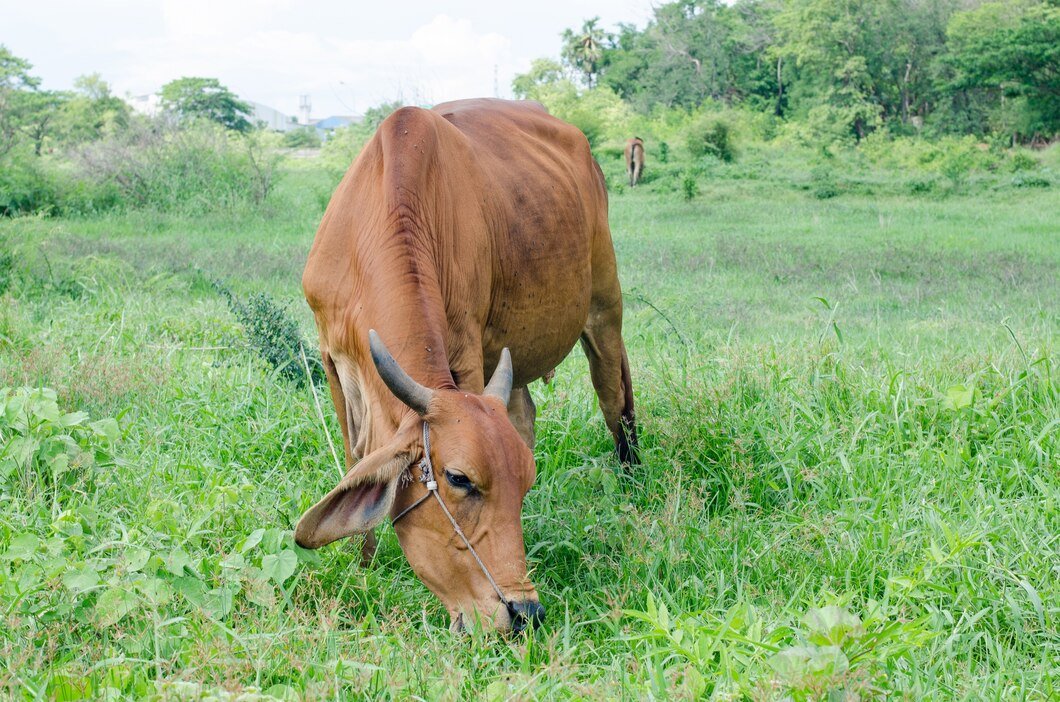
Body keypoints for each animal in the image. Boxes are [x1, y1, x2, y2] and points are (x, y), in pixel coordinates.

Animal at [294, 100, 635, 636]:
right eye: (459, 479)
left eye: (525, 484)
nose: (524, 613)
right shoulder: (332, 360)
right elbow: (356, 459)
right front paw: (362, 565)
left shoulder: (468, 353)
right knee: (526, 412)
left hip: (604, 305)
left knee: (614, 398)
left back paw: (632, 482)